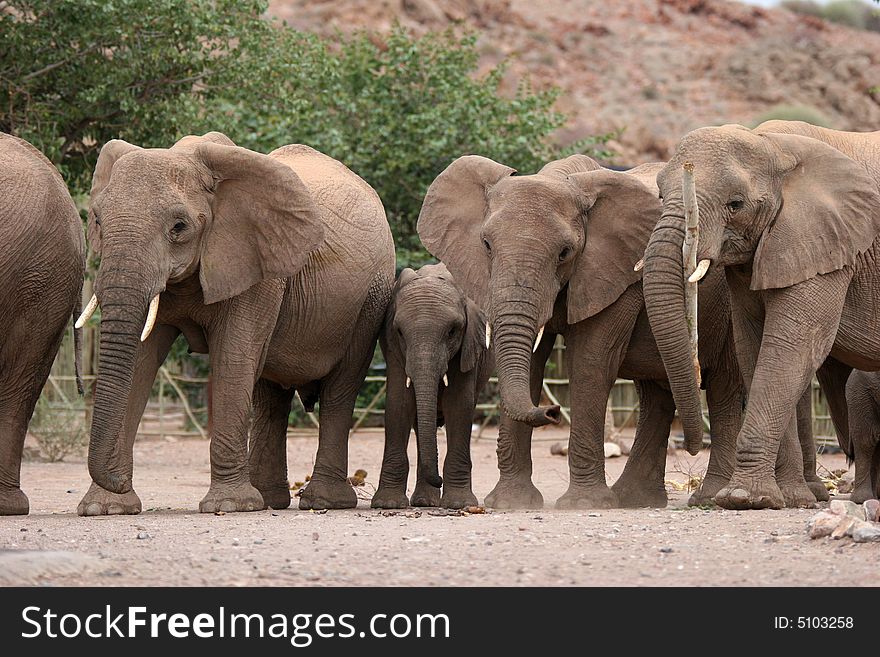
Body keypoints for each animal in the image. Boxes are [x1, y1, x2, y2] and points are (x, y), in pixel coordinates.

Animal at [416, 154, 744, 508]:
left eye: (564, 253)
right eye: (486, 245)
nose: (552, 410)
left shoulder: (615, 274)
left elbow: (591, 361)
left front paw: (584, 504)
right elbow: (532, 362)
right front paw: (510, 504)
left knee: (724, 388)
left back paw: (708, 497)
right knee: (656, 395)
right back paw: (634, 500)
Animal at [640, 120, 880, 510]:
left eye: (735, 204)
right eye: (660, 196)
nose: (690, 447)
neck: (774, 146)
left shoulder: (827, 243)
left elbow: (789, 348)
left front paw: (744, 498)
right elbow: (754, 349)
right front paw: (787, 499)